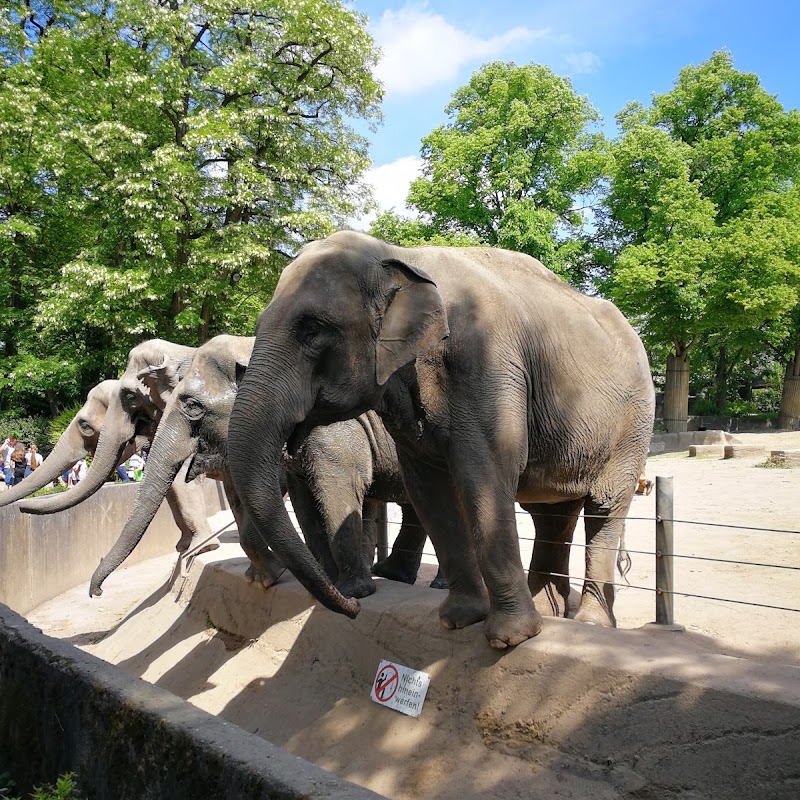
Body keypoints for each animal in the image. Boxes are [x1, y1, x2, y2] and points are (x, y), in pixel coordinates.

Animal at [90, 332, 438, 600]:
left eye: (193, 406)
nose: (97, 592)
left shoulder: (336, 427)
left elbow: (337, 489)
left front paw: (352, 593)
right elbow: (301, 501)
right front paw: (317, 583)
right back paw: (392, 575)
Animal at [227, 230, 656, 648]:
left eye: (311, 329)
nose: (353, 606)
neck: (401, 255)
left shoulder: (487, 364)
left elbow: (484, 474)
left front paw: (509, 638)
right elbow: (428, 487)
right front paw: (459, 620)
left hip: (632, 425)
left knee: (605, 507)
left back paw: (589, 623)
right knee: (551, 514)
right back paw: (552, 615)